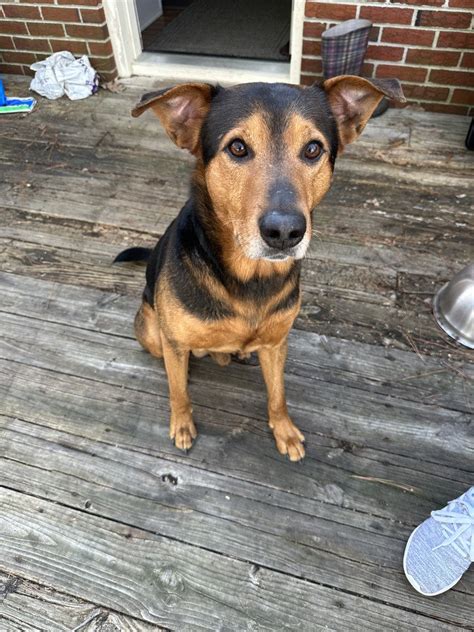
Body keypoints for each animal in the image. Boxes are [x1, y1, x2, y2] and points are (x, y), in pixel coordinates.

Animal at [116, 75, 406, 460]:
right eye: (238, 148)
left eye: (313, 150)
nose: (284, 231)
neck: (249, 276)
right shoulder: (175, 342)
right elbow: (179, 393)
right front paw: (182, 424)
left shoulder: (277, 343)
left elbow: (278, 394)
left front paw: (283, 430)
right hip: (151, 330)